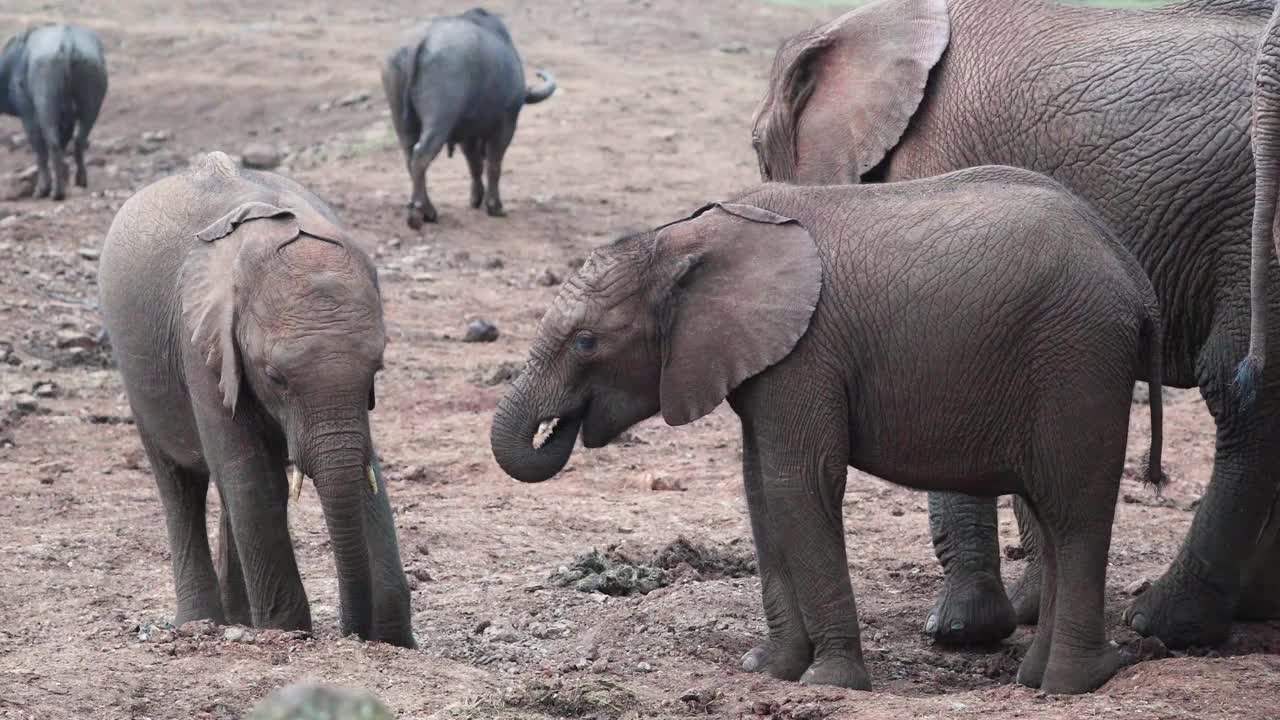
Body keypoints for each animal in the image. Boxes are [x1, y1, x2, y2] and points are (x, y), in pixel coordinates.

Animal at [0, 23, 107, 198]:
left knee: (52, 143)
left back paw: (53, 191)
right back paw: (80, 180)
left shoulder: (28, 115)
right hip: (91, 105)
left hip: (46, 105)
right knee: (78, 140)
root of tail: (68, 43)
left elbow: (40, 150)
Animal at [99, 151, 412, 645]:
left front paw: (394, 641)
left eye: (376, 371)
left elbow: (365, 474)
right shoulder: (200, 344)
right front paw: (287, 633)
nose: (353, 634)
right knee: (181, 485)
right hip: (137, 371)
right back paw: (202, 623)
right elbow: (256, 483)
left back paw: (237, 621)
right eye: (275, 377)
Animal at [376, 7, 552, 228]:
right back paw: (420, 213)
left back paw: (426, 209)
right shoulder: (505, 124)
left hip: (401, 120)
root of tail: (420, 40)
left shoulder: (467, 134)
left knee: (410, 157)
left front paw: (476, 199)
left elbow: (474, 164)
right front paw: (494, 206)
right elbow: (494, 164)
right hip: (439, 121)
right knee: (421, 155)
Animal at [491, 165, 1172, 691]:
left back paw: (1072, 683)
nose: (560, 426)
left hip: (1076, 357)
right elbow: (762, 493)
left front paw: (830, 681)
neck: (685, 237)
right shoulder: (767, 363)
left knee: (1073, 509)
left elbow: (800, 485)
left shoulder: (807, 352)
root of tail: (1137, 280)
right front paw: (768, 669)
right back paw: (1039, 678)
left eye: (586, 342)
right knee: (1054, 514)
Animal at [747, 0, 1280, 645]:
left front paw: (960, 629)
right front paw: (1026, 609)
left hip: (1246, 232)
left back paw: (1164, 621)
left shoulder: (936, 159)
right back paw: (1250, 608)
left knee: (1238, 394)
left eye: (757, 148)